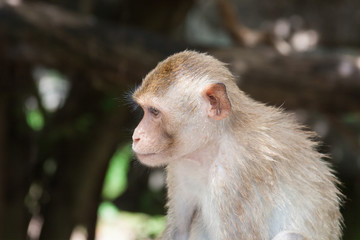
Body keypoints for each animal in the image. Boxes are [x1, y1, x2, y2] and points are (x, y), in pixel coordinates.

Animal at [131, 50, 344, 240]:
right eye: (144, 110)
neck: (213, 145)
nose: (136, 136)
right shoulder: (179, 166)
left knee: (290, 236)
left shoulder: (233, 180)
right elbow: (179, 230)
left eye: (154, 112)